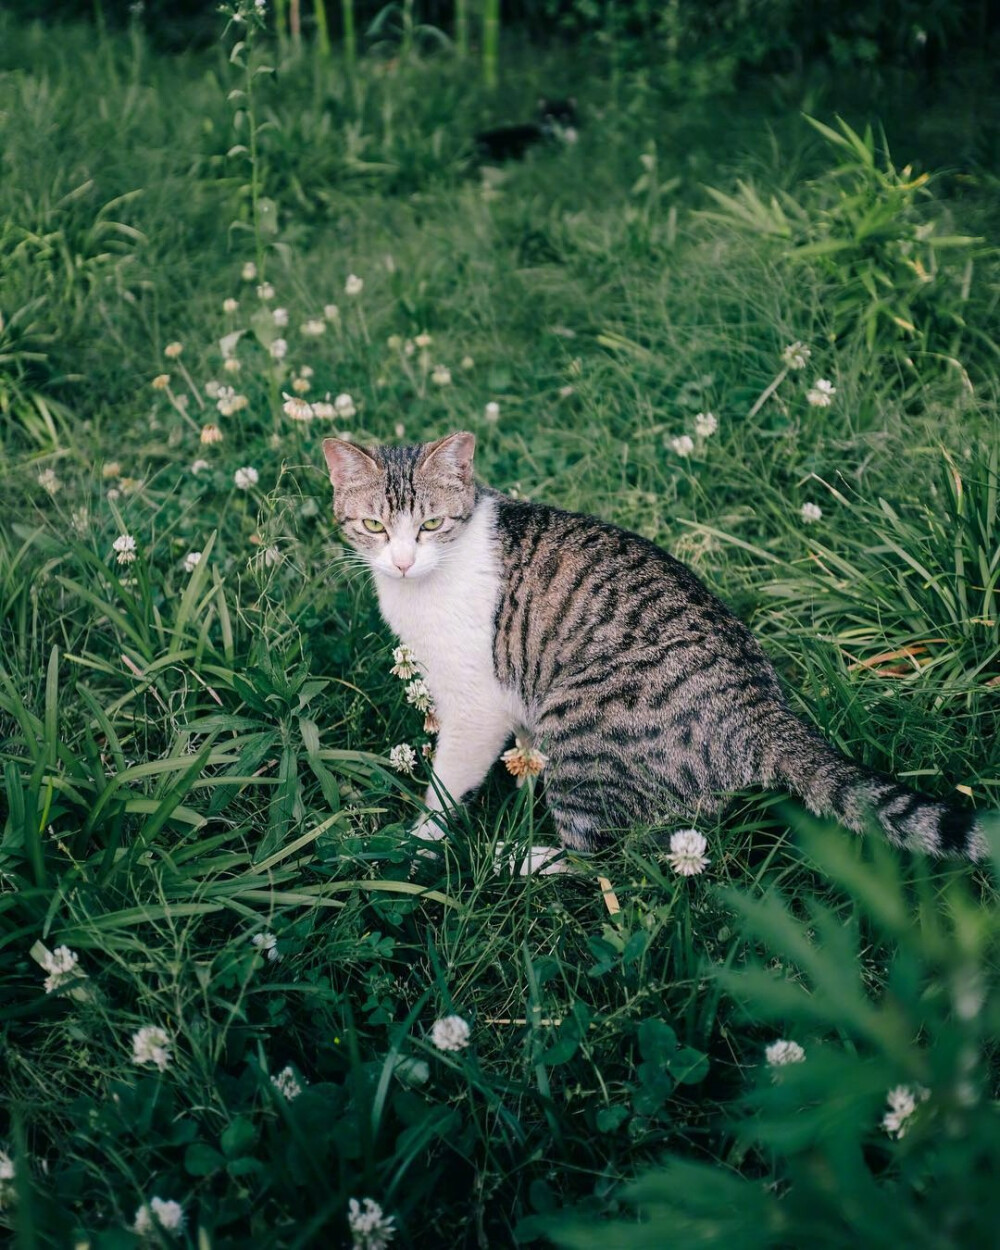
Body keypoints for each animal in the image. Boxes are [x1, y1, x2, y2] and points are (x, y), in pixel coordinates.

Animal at [325, 432, 990, 860]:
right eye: (375, 526)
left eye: (431, 525)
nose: (402, 560)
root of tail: (766, 711)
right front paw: (516, 778)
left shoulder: (474, 707)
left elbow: (445, 788)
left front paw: (417, 844)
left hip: (580, 724)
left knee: (603, 855)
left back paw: (518, 860)